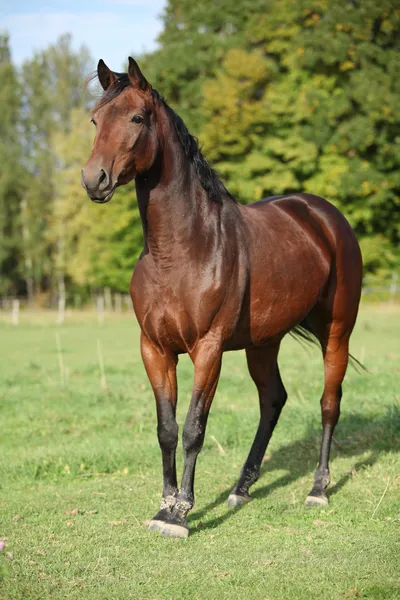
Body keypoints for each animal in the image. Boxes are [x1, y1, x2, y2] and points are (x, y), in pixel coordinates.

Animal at [81, 58, 362, 540]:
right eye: (96, 120)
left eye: (137, 118)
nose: (93, 180)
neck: (181, 249)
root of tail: (324, 215)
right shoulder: (155, 349)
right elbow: (167, 428)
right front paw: (163, 507)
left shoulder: (208, 349)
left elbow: (194, 428)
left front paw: (181, 514)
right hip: (264, 342)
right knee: (273, 400)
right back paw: (241, 488)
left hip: (337, 333)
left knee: (329, 402)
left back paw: (318, 489)